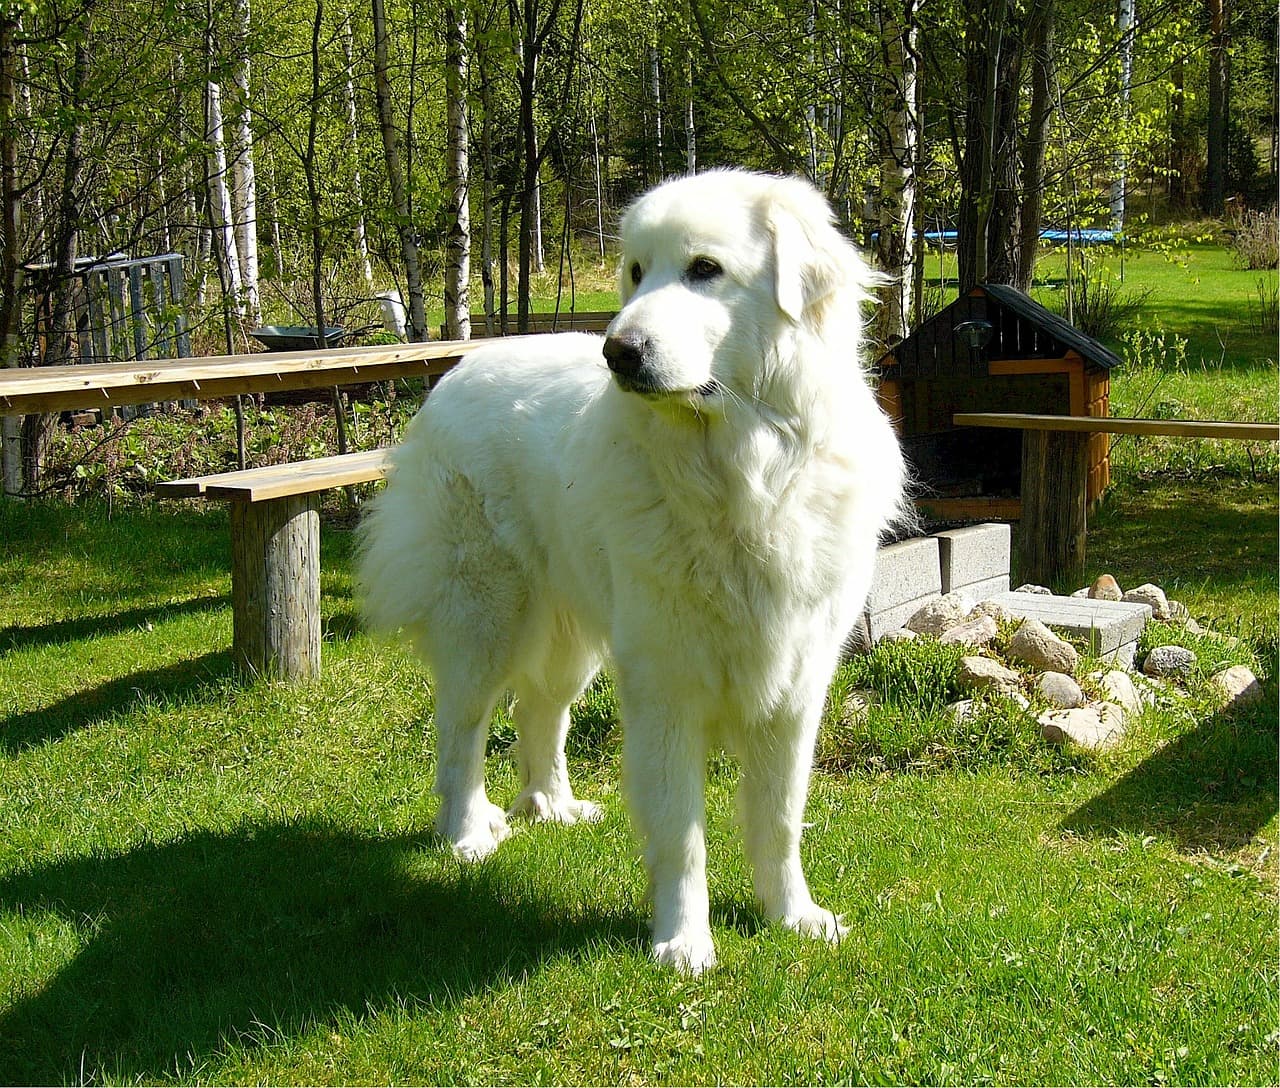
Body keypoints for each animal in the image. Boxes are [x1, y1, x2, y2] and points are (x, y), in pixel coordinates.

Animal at [355, 171, 906, 972]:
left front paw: (792, 917)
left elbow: (779, 820)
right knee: (461, 727)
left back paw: (553, 807)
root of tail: (462, 366)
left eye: (705, 269)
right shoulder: (665, 687)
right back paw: (464, 833)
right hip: (487, 617)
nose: (618, 351)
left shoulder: (794, 687)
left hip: (572, 635)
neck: (744, 476)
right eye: (638, 273)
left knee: (539, 711)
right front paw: (683, 941)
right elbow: (681, 834)